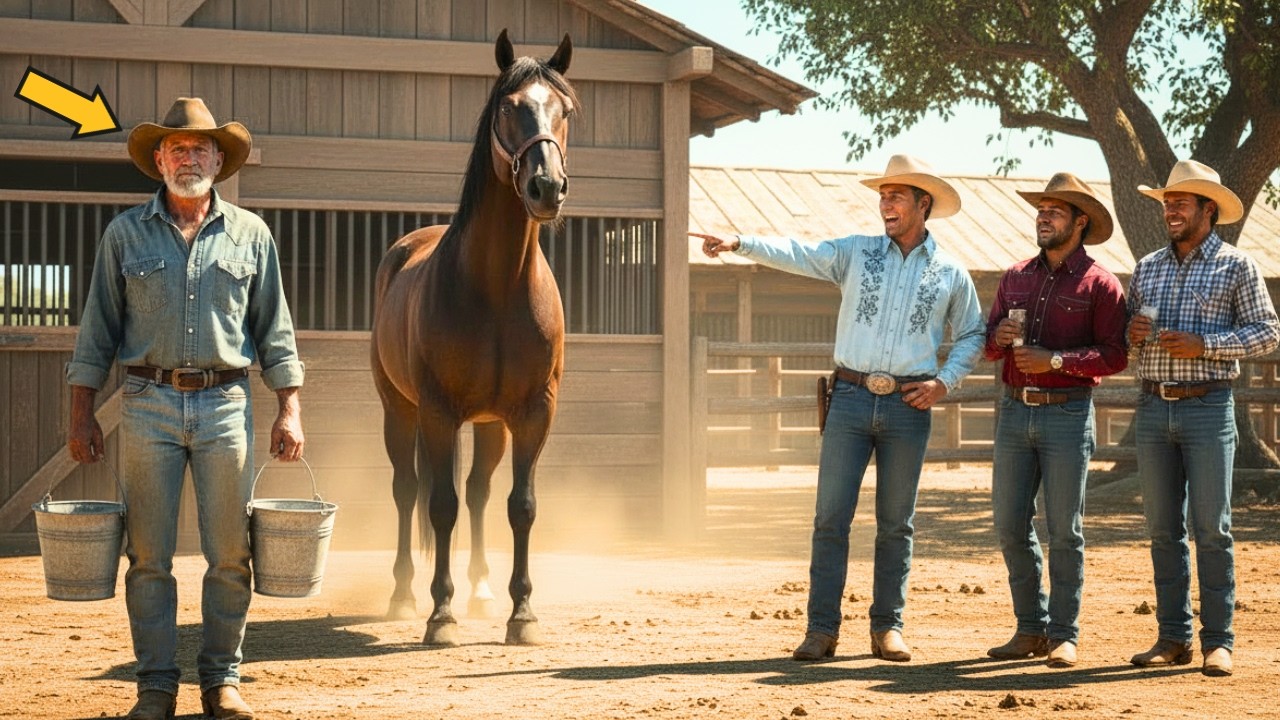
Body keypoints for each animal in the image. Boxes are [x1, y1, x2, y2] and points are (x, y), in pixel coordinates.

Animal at [369, 30, 576, 646]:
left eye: (565, 110)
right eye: (509, 108)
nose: (546, 187)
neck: (498, 287)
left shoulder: (534, 413)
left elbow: (520, 506)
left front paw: (521, 614)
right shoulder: (438, 412)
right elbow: (440, 505)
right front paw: (440, 615)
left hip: (490, 426)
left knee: (481, 491)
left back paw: (482, 591)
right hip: (400, 412)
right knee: (408, 489)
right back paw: (403, 595)